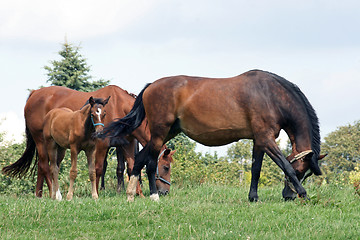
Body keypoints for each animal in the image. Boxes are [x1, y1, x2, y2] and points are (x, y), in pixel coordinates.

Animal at [2, 85, 172, 198]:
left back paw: (40, 194)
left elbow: (131, 167)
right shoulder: (102, 144)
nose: (165, 191)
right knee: (45, 165)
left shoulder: (127, 144)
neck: (121, 108)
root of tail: (35, 93)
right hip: (42, 141)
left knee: (43, 166)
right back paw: (54, 193)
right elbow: (98, 169)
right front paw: (96, 192)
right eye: (166, 167)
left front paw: (139, 194)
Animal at [101, 70, 324, 202]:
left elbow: (256, 169)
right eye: (302, 171)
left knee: (140, 159)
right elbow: (285, 166)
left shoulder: (259, 141)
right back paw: (154, 196)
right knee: (150, 162)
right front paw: (304, 194)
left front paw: (253, 197)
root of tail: (151, 85)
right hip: (159, 133)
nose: (288, 196)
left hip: (166, 132)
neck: (270, 95)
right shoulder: (266, 140)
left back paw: (131, 195)